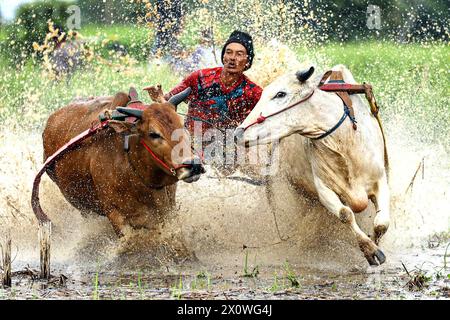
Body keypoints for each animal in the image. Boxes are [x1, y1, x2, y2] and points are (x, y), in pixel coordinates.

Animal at [42, 87, 204, 235]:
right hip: (83, 208)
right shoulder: (115, 215)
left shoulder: (168, 207)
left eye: (182, 125)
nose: (194, 165)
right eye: (153, 134)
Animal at [236, 64, 390, 264]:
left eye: (280, 94)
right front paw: (370, 249)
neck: (344, 141)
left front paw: (376, 244)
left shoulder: (380, 179)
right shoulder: (323, 189)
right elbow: (345, 214)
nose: (238, 133)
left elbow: (381, 224)